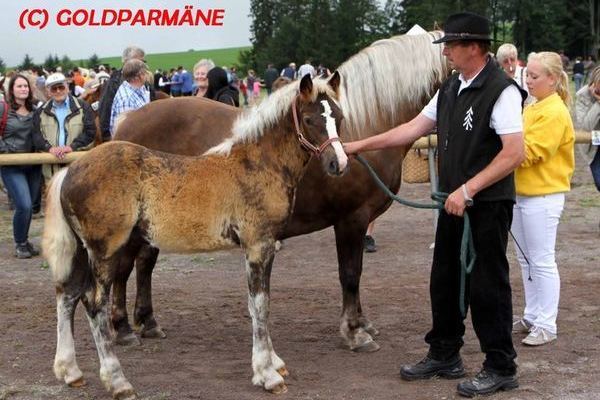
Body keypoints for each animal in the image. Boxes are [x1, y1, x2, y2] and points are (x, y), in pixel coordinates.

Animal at [44, 73, 346, 398]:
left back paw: (69, 371)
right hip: (105, 251)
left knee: (67, 295)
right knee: (94, 303)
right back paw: (118, 381)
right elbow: (259, 305)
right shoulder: (258, 245)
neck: (258, 163)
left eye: (339, 117)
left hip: (81, 250)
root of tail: (71, 169)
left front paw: (274, 363)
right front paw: (267, 375)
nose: (338, 164)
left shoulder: (267, 246)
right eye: (309, 119)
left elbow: (261, 303)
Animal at [113, 30, 450, 350]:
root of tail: (125, 125)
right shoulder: (351, 219)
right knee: (125, 265)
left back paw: (148, 322)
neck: (367, 128)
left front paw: (362, 324)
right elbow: (350, 274)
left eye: (340, 117)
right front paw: (355, 332)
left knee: (143, 263)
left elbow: (356, 272)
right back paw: (123, 329)